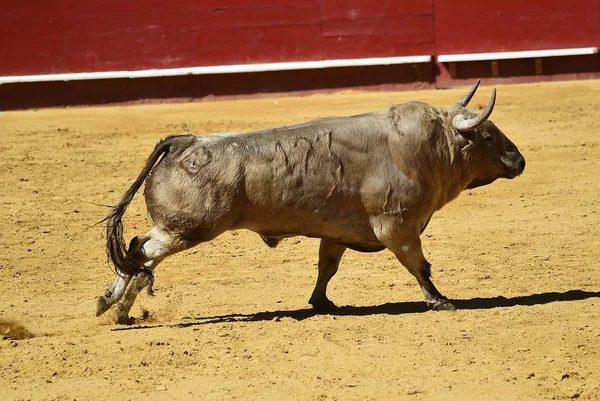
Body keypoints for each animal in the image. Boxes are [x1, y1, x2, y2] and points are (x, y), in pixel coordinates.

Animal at [95, 80, 524, 322]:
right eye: (488, 137)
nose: (519, 160)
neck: (427, 150)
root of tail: (186, 140)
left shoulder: (336, 233)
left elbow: (327, 268)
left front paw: (321, 302)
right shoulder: (397, 226)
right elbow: (418, 264)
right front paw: (440, 301)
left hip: (177, 229)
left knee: (138, 254)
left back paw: (113, 306)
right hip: (185, 229)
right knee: (142, 251)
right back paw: (117, 306)